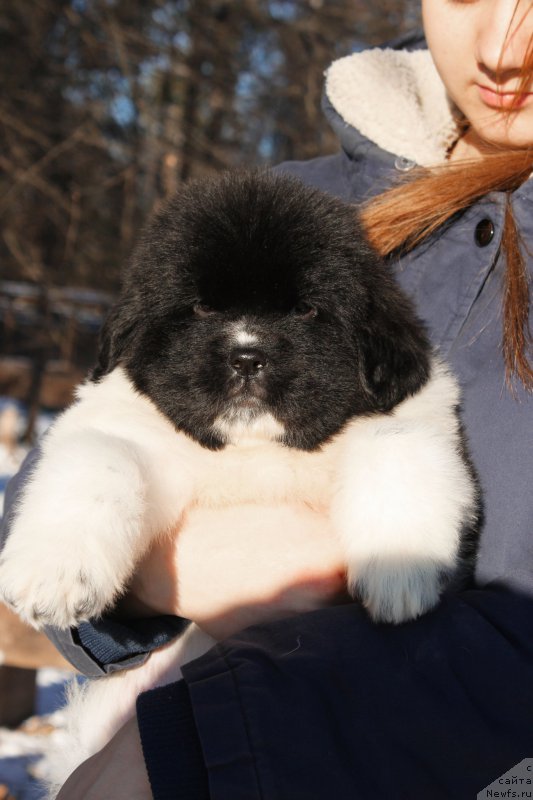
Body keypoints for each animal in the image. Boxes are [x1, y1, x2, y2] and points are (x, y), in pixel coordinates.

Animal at [0, 169, 476, 788]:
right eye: (202, 307)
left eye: (306, 311)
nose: (247, 356)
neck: (253, 453)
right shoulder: (117, 429)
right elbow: (100, 459)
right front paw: (52, 576)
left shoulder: (420, 418)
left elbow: (394, 442)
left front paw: (399, 571)